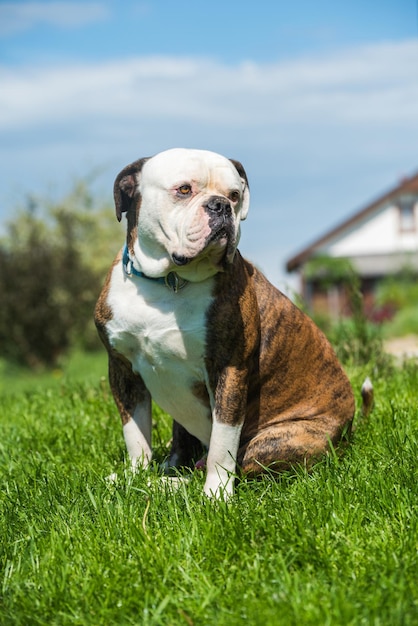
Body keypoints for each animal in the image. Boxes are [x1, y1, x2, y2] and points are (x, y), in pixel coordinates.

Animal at [94, 146, 360, 498]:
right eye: (184, 190)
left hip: (274, 442)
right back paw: (164, 472)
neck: (168, 282)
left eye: (235, 195)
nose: (221, 206)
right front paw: (134, 475)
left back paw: (172, 484)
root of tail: (348, 431)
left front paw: (215, 495)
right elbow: (135, 435)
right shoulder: (123, 370)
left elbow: (222, 444)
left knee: (239, 464)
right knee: (184, 447)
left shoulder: (228, 370)